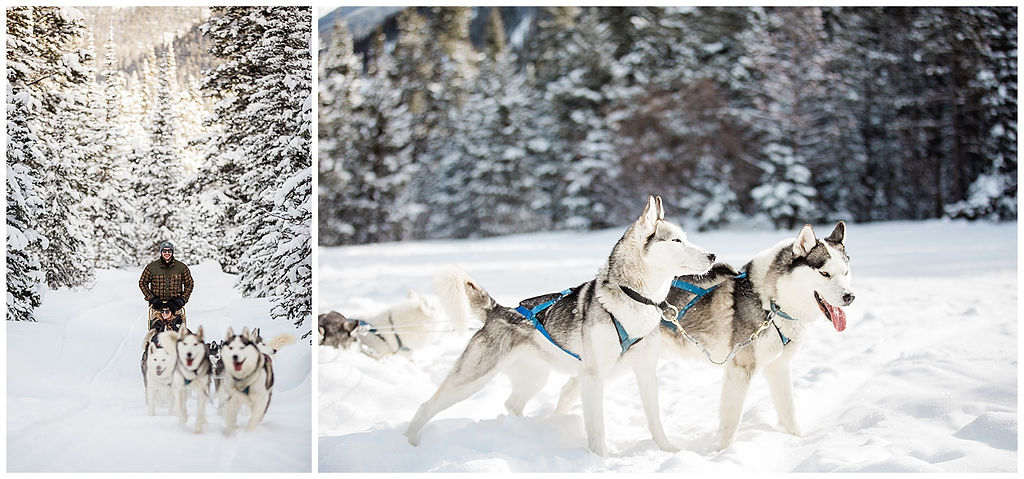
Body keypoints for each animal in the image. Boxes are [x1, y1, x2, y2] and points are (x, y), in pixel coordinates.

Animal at [403, 195, 716, 456]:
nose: (713, 255)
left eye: (685, 238)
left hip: (535, 377)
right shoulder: (592, 377)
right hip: (473, 379)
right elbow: (597, 428)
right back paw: (408, 443)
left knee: (512, 405)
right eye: (676, 241)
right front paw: (601, 460)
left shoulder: (645, 372)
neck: (635, 298)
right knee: (425, 406)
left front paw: (669, 450)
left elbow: (655, 420)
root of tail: (498, 310)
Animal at [659, 223, 851, 446]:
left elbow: (789, 411)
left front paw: (797, 441)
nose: (850, 296)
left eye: (846, 272)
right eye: (825, 273)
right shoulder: (740, 371)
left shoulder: (778, 368)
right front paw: (723, 451)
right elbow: (731, 423)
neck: (770, 303)